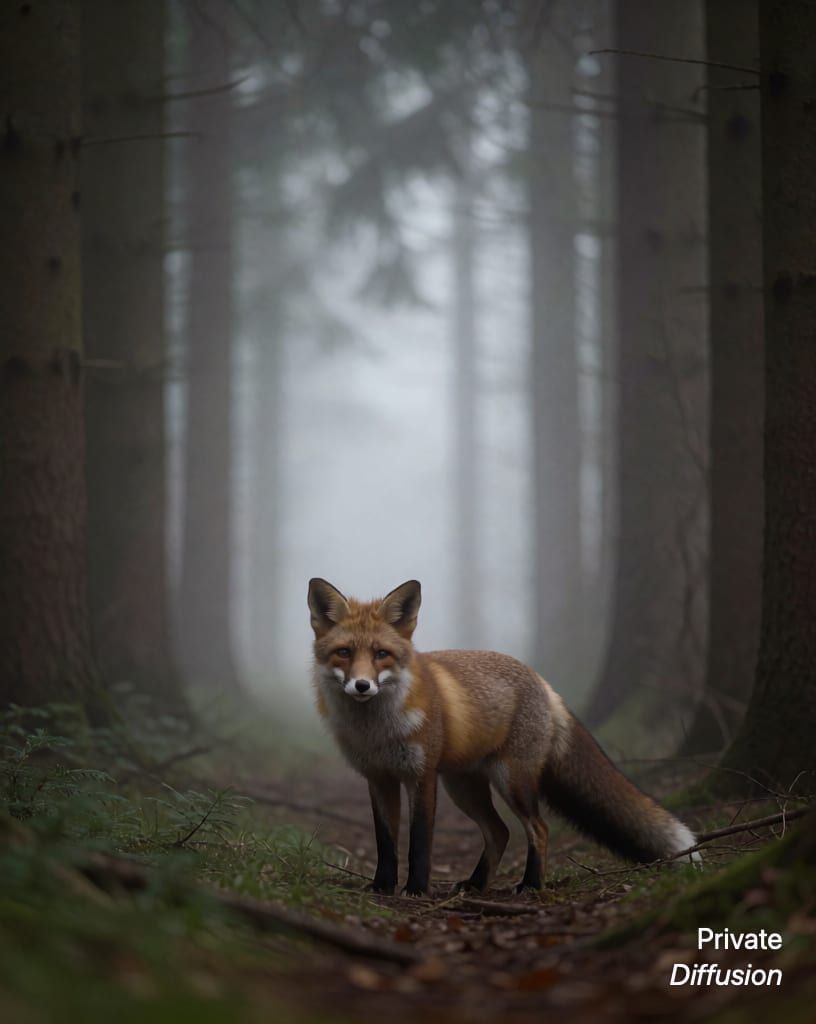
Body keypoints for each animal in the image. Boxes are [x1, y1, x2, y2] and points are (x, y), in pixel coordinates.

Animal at [308, 577, 700, 896]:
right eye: (344, 652)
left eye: (381, 654)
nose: (362, 685)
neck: (377, 730)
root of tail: (542, 681)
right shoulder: (379, 778)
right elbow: (385, 841)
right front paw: (382, 886)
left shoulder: (421, 776)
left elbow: (419, 840)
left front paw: (416, 889)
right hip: (464, 786)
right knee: (499, 832)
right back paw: (476, 884)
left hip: (511, 780)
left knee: (538, 828)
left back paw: (531, 885)